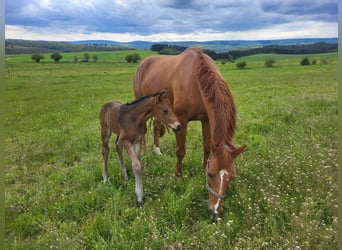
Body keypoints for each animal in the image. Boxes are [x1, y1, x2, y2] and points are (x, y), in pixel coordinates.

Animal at [133, 47, 246, 219]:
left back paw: (157, 151)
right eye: (211, 174)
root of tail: (142, 64)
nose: (215, 212)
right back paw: (145, 149)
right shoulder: (181, 120)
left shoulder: (206, 120)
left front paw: (202, 169)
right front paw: (178, 177)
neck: (196, 81)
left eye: (231, 177)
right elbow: (181, 151)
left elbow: (207, 147)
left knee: (156, 126)